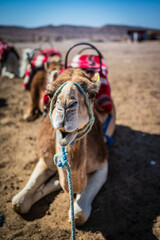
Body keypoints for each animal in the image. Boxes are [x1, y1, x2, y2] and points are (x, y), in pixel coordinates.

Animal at [12, 65, 115, 225]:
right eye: (49, 94)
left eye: (93, 94)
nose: (66, 105)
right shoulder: (46, 159)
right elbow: (19, 202)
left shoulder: (102, 164)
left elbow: (79, 214)